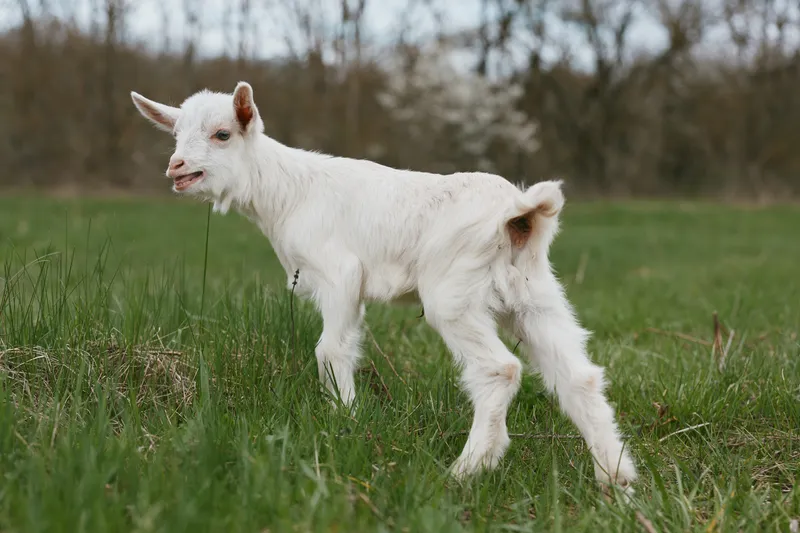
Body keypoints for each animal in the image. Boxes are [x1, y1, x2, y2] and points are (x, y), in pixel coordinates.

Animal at [130, 82, 637, 492]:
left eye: (222, 134)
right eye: (176, 135)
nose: (177, 167)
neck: (287, 191)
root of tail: (519, 213)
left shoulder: (339, 274)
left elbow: (330, 350)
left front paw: (347, 421)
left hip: (453, 294)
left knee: (500, 370)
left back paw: (468, 469)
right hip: (534, 295)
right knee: (579, 376)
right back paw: (616, 481)